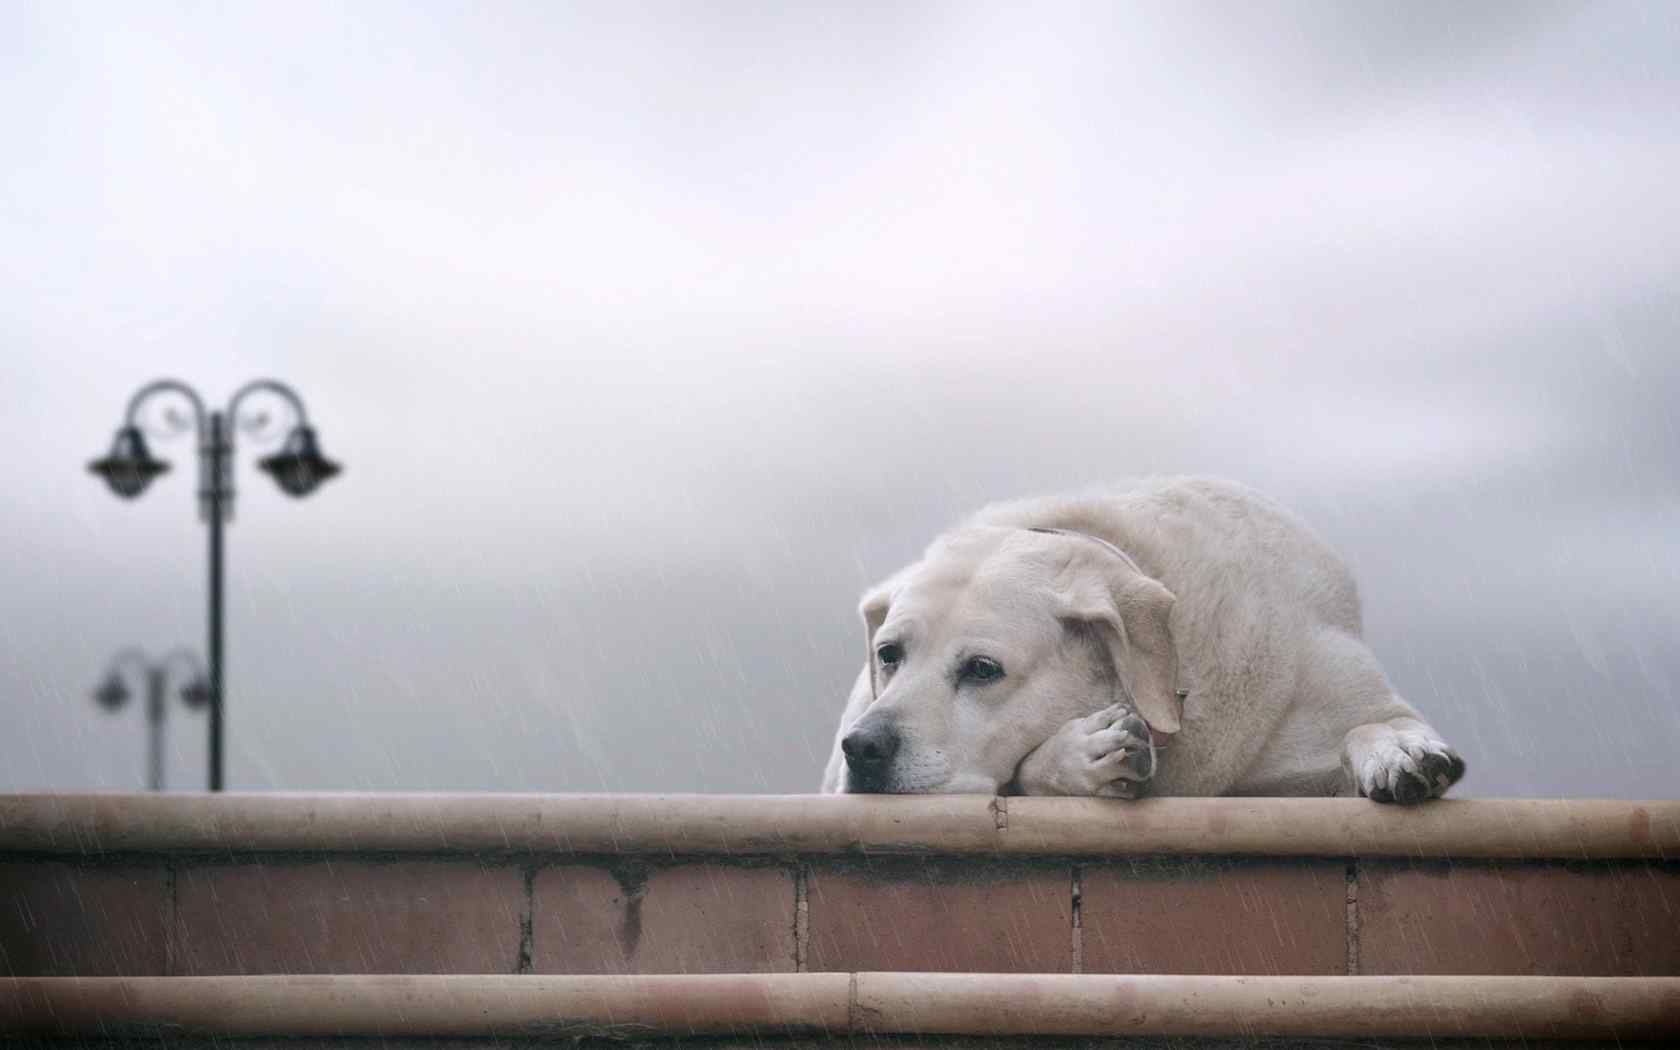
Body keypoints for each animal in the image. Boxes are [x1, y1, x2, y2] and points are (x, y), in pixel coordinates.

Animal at [819, 477, 1464, 803]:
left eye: (982, 668)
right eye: (889, 655)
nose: (864, 748)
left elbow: (1372, 722)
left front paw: (1398, 750)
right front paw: (1085, 755)